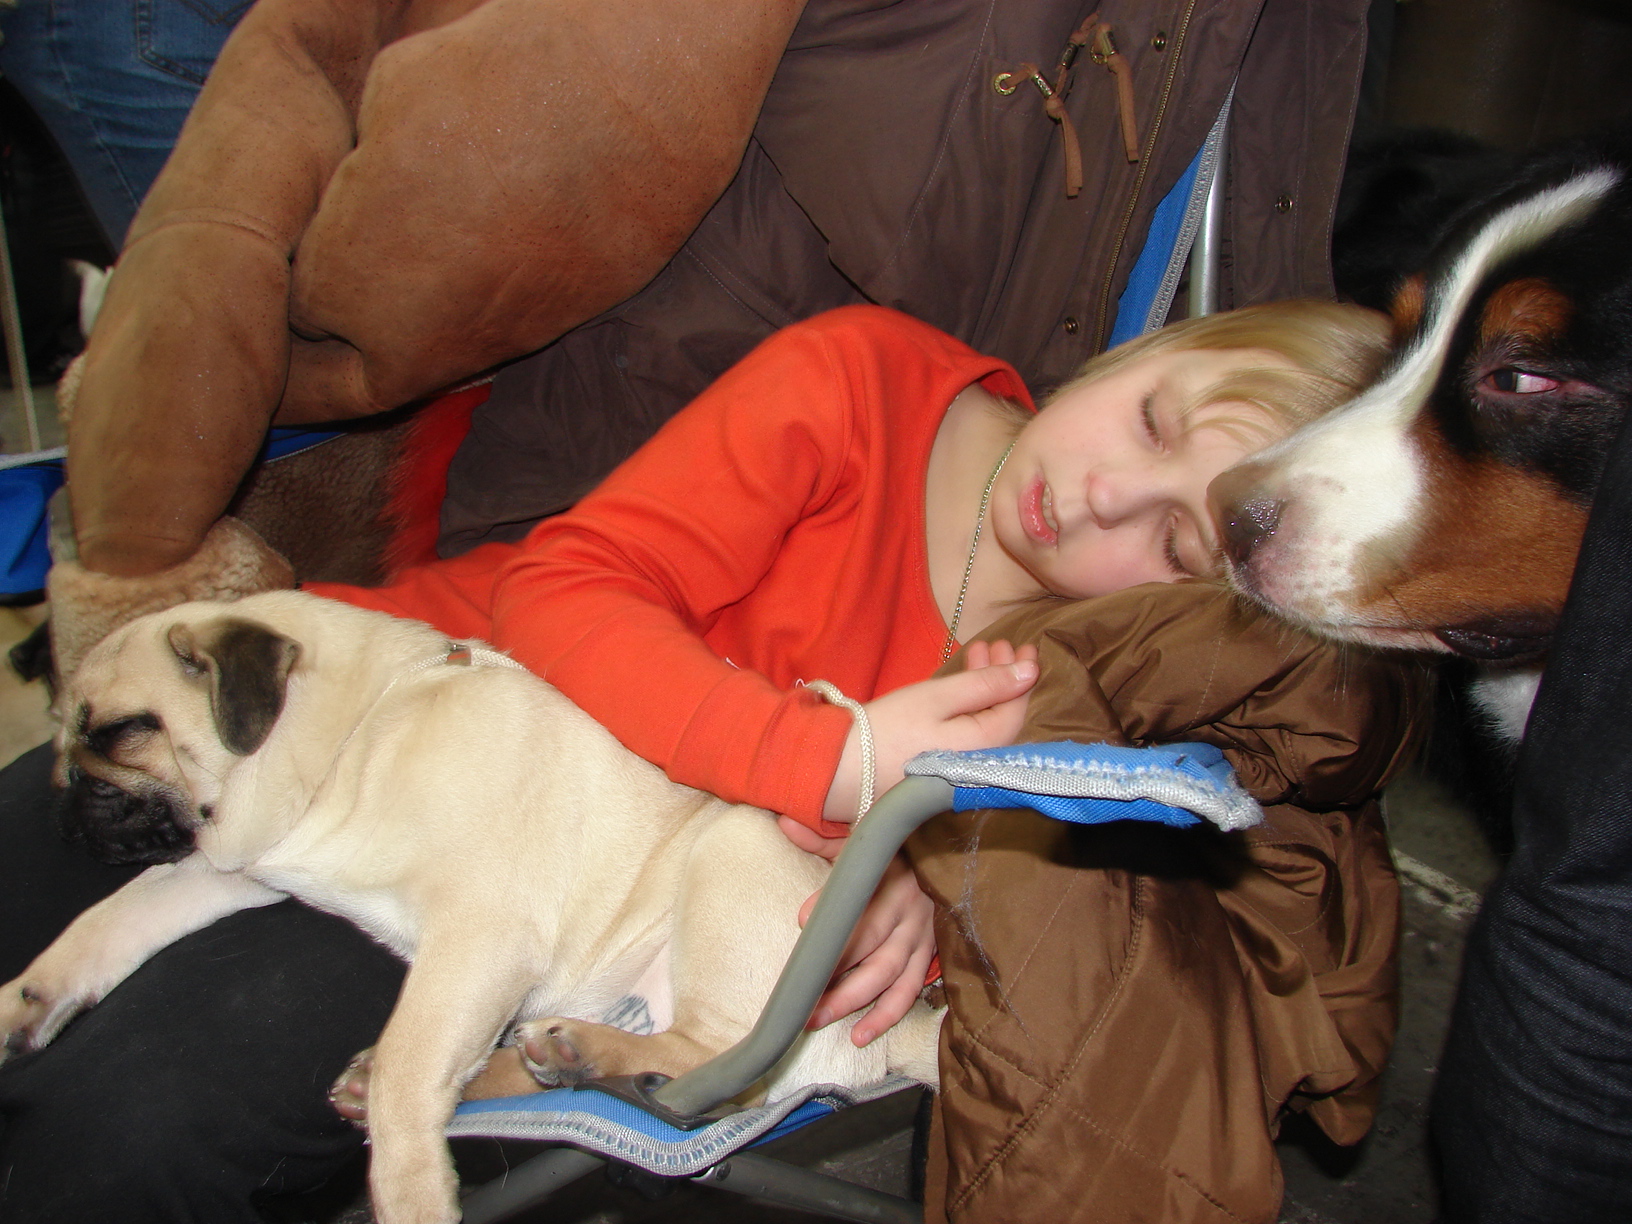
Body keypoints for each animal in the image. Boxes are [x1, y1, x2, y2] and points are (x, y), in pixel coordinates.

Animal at [0, 591, 941, 1224]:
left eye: (122, 733)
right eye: (65, 736)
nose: (63, 797)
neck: (356, 735)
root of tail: (903, 1030)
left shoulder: (478, 936)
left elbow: (410, 1077)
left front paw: (410, 1195)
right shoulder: (223, 870)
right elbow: (103, 926)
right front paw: (23, 1004)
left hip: (730, 858)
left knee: (710, 1063)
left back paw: (583, 1051)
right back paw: (529, 1064)